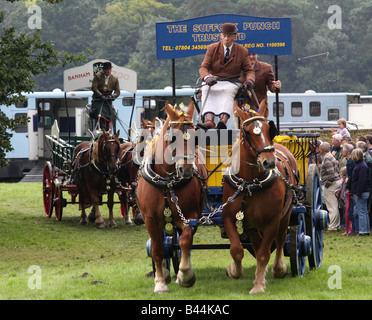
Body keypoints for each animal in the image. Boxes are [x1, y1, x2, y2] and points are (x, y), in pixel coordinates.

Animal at [136, 101, 208, 294]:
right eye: (173, 137)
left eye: (196, 137)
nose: (187, 169)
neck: (167, 182)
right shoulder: (150, 219)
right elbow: (157, 249)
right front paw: (160, 282)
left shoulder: (190, 216)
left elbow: (185, 242)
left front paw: (185, 275)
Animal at [222, 100, 298, 296]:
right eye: (247, 132)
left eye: (268, 129)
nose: (269, 161)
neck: (250, 182)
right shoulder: (231, 217)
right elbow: (237, 250)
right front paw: (235, 270)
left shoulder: (272, 220)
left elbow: (265, 253)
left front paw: (258, 285)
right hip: (253, 225)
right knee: (256, 246)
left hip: (286, 214)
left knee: (280, 239)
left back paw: (277, 269)